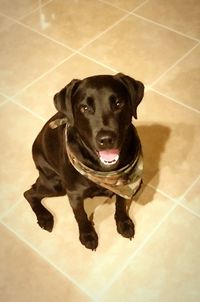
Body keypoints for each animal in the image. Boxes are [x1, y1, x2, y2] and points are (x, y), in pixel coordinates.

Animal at [24, 73, 145, 250]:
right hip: (56, 184)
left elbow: (121, 203)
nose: (106, 139)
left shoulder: (124, 184)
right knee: (29, 193)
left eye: (118, 103)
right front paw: (87, 235)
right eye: (85, 108)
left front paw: (123, 223)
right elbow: (80, 215)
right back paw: (45, 218)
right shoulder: (74, 194)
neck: (104, 171)